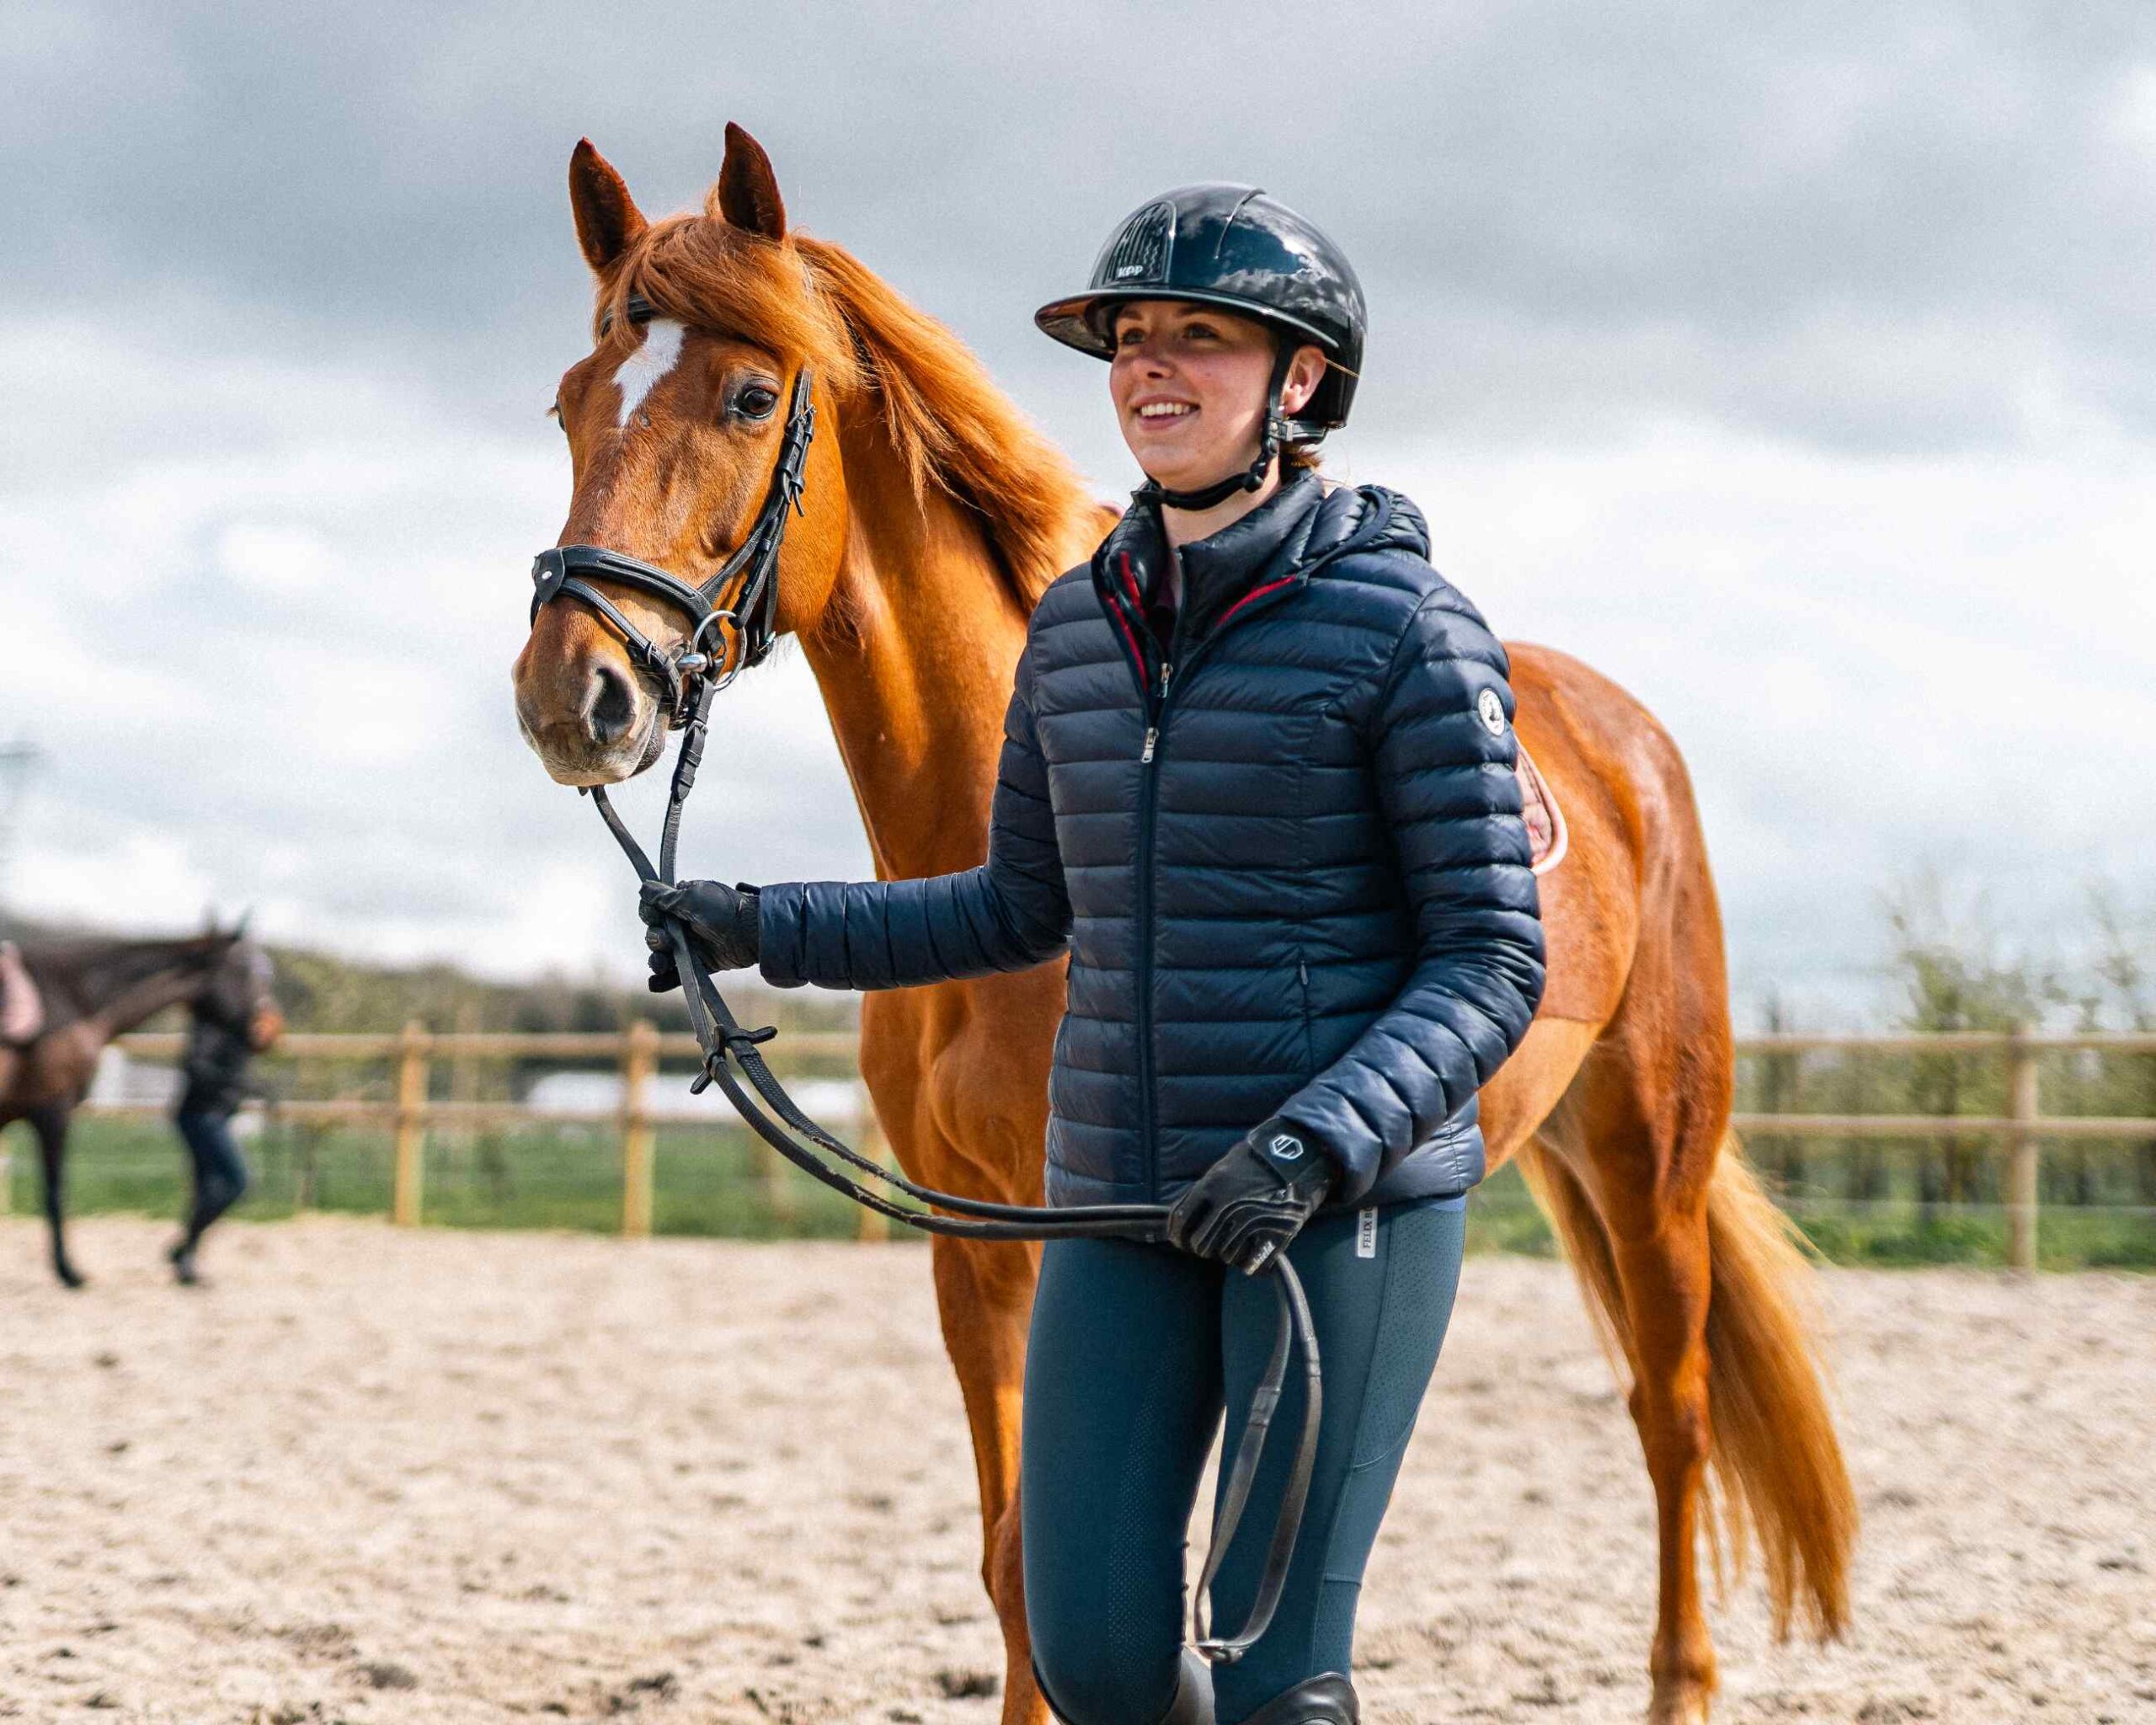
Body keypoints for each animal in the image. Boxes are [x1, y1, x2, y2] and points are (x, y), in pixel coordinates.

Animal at [1, 926, 276, 1288]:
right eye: (245, 970)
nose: (268, 1028)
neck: (71, 997)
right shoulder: (53, 1111)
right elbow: (55, 1193)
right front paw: (69, 1273)